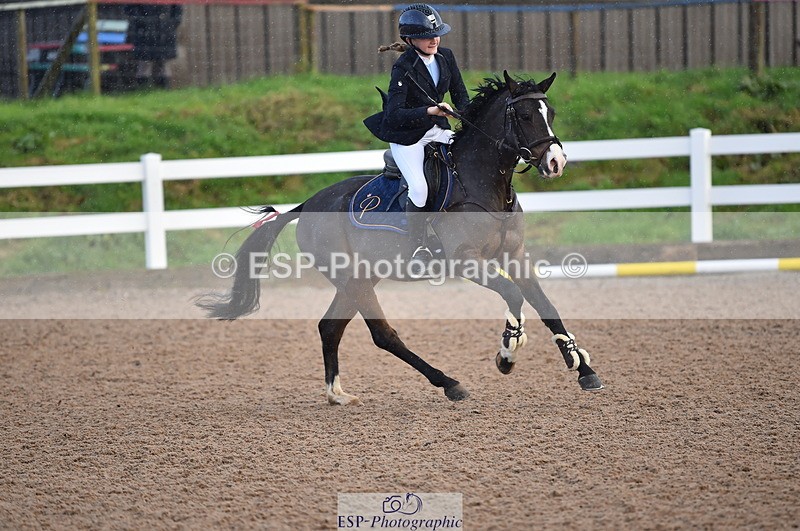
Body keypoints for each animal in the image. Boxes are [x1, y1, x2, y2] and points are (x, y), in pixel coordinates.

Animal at [197, 70, 604, 405]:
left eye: (550, 113)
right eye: (523, 116)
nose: (555, 162)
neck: (484, 183)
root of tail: (307, 204)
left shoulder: (516, 255)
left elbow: (545, 305)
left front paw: (581, 367)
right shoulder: (467, 261)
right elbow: (513, 295)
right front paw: (507, 352)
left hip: (360, 278)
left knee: (330, 326)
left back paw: (337, 393)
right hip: (353, 279)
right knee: (382, 334)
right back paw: (449, 383)